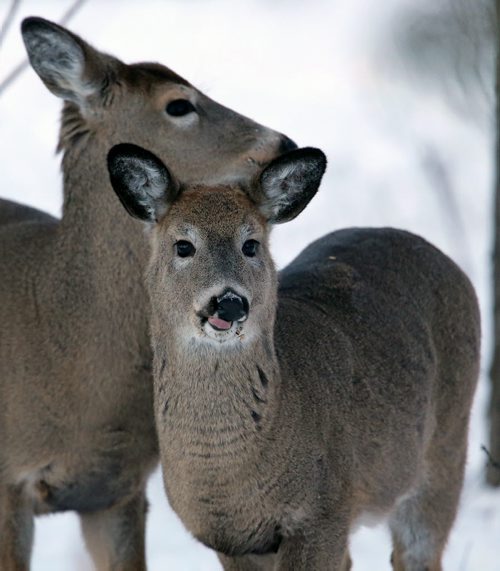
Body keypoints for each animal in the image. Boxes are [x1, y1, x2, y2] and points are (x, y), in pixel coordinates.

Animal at [107, 143, 482, 571]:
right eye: (183, 245)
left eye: (251, 244)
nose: (230, 302)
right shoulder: (231, 541)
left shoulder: (325, 510)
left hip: (445, 447)